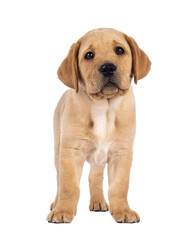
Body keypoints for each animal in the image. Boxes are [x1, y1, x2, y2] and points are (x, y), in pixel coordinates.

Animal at [47, 28, 152, 223]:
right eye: (89, 55)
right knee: (59, 180)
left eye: (119, 50)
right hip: (58, 149)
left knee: (94, 177)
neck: (104, 107)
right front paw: (62, 210)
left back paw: (98, 201)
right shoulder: (70, 152)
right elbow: (68, 186)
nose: (108, 67)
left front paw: (123, 210)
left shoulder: (122, 153)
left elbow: (119, 186)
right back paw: (56, 203)